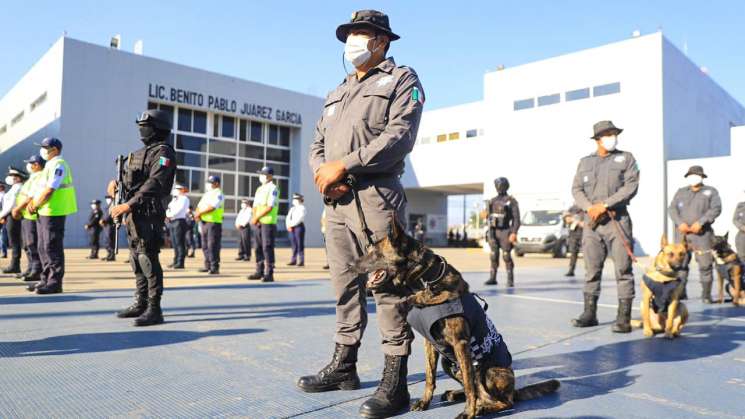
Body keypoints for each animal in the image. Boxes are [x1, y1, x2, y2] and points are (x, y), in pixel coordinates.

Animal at [352, 220, 556, 419]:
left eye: (375, 252)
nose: (351, 266)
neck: (426, 281)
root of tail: (513, 390)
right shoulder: (429, 344)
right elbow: (430, 377)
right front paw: (425, 402)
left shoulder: (461, 344)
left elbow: (469, 385)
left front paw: (468, 413)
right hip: (448, 363)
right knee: (477, 391)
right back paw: (458, 396)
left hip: (487, 370)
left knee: (500, 399)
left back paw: (481, 408)